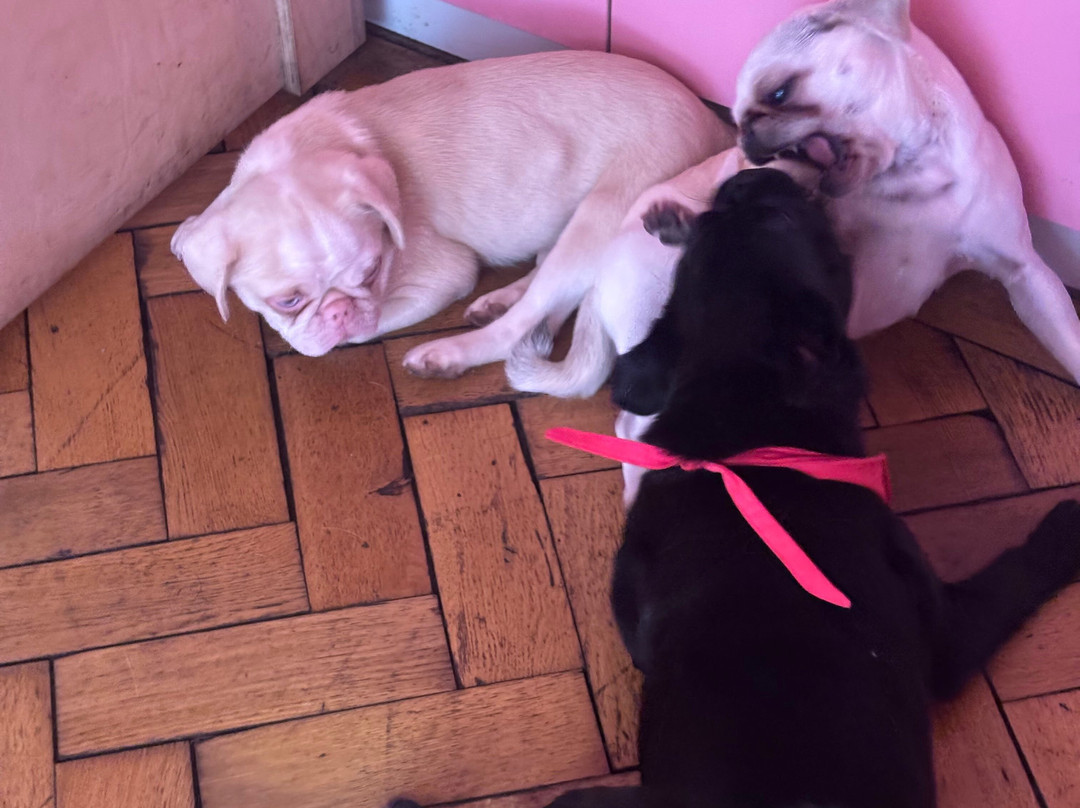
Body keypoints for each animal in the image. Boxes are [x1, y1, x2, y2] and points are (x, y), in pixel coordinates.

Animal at [170, 51, 732, 360]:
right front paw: (187, 233)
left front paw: (348, 329)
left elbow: (370, 324)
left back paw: (449, 353)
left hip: (608, 211)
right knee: (549, 298)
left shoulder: (439, 275)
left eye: (373, 270)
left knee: (528, 321)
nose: (341, 311)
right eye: (287, 299)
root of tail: (713, 123)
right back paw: (500, 300)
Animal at [526, 168, 1079, 808]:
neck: (739, 443)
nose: (748, 174)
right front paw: (1069, 523)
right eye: (785, 221)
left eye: (714, 225)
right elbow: (1015, 573)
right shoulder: (947, 633)